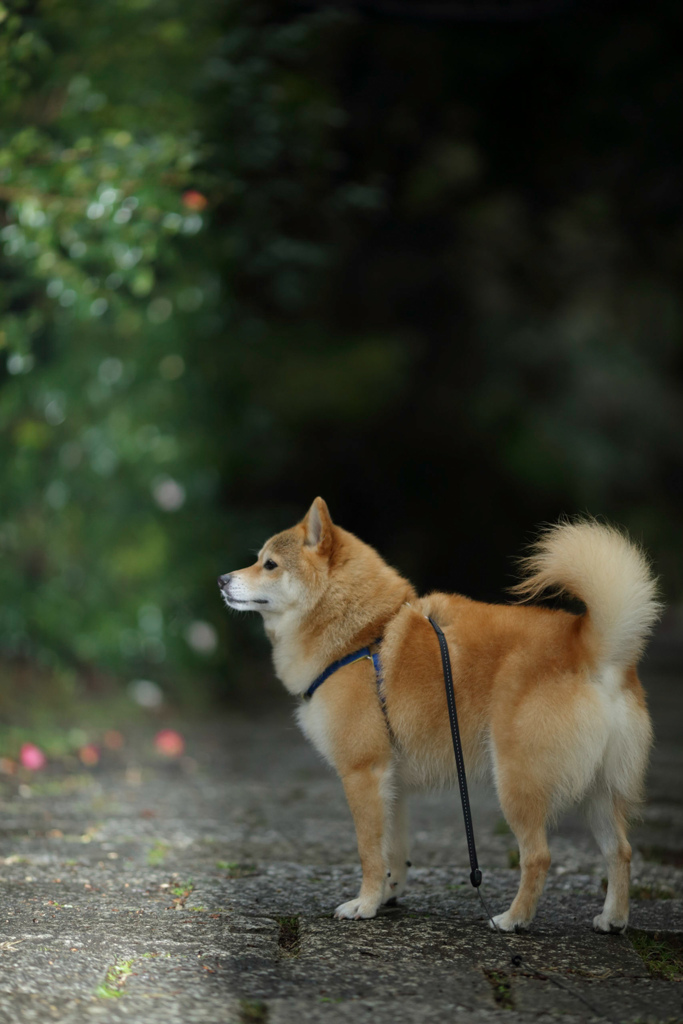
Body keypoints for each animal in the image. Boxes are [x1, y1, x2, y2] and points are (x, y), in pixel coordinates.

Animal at [218, 499, 655, 933]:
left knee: (539, 856)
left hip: (517, 781)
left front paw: (364, 904)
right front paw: (388, 895)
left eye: (270, 564)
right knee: (620, 850)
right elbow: (393, 851)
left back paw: (513, 919)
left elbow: (369, 852)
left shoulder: (363, 773)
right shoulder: (391, 783)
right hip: (599, 789)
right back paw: (613, 919)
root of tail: (590, 647)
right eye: (258, 560)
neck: (363, 633)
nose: (222, 579)